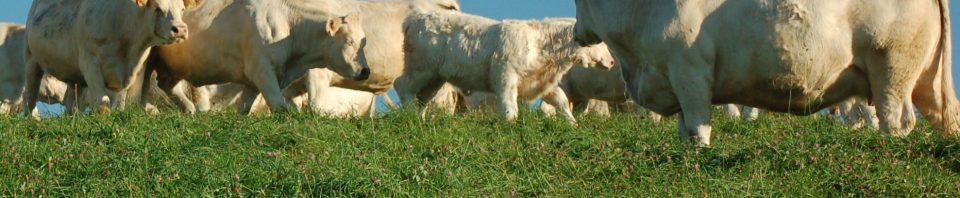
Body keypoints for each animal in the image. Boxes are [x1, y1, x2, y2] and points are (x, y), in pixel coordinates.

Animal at [20, 0, 202, 115]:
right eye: (157, 8)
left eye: (182, 9)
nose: (180, 29)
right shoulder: (90, 62)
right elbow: (102, 102)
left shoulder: (131, 71)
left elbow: (119, 102)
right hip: (31, 58)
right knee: (30, 93)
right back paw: (32, 118)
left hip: (72, 72)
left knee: (72, 100)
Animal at [143, 0, 372, 114]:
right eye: (349, 40)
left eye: (364, 40)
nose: (365, 70)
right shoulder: (262, 71)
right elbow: (280, 107)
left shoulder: (253, 80)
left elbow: (243, 109)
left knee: (167, 84)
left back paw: (189, 109)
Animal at [398, 11, 616, 124]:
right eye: (599, 41)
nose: (613, 62)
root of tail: (414, 18)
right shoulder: (505, 77)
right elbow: (511, 107)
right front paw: (511, 127)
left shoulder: (540, 83)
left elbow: (561, 101)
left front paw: (573, 124)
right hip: (421, 68)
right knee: (403, 86)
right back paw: (410, 115)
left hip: (436, 77)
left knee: (423, 98)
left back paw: (420, 120)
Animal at [572, 0, 956, 145]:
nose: (576, 33)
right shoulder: (676, 80)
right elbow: (685, 130)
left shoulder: (690, 74)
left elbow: (697, 128)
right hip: (925, 81)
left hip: (891, 69)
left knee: (896, 120)